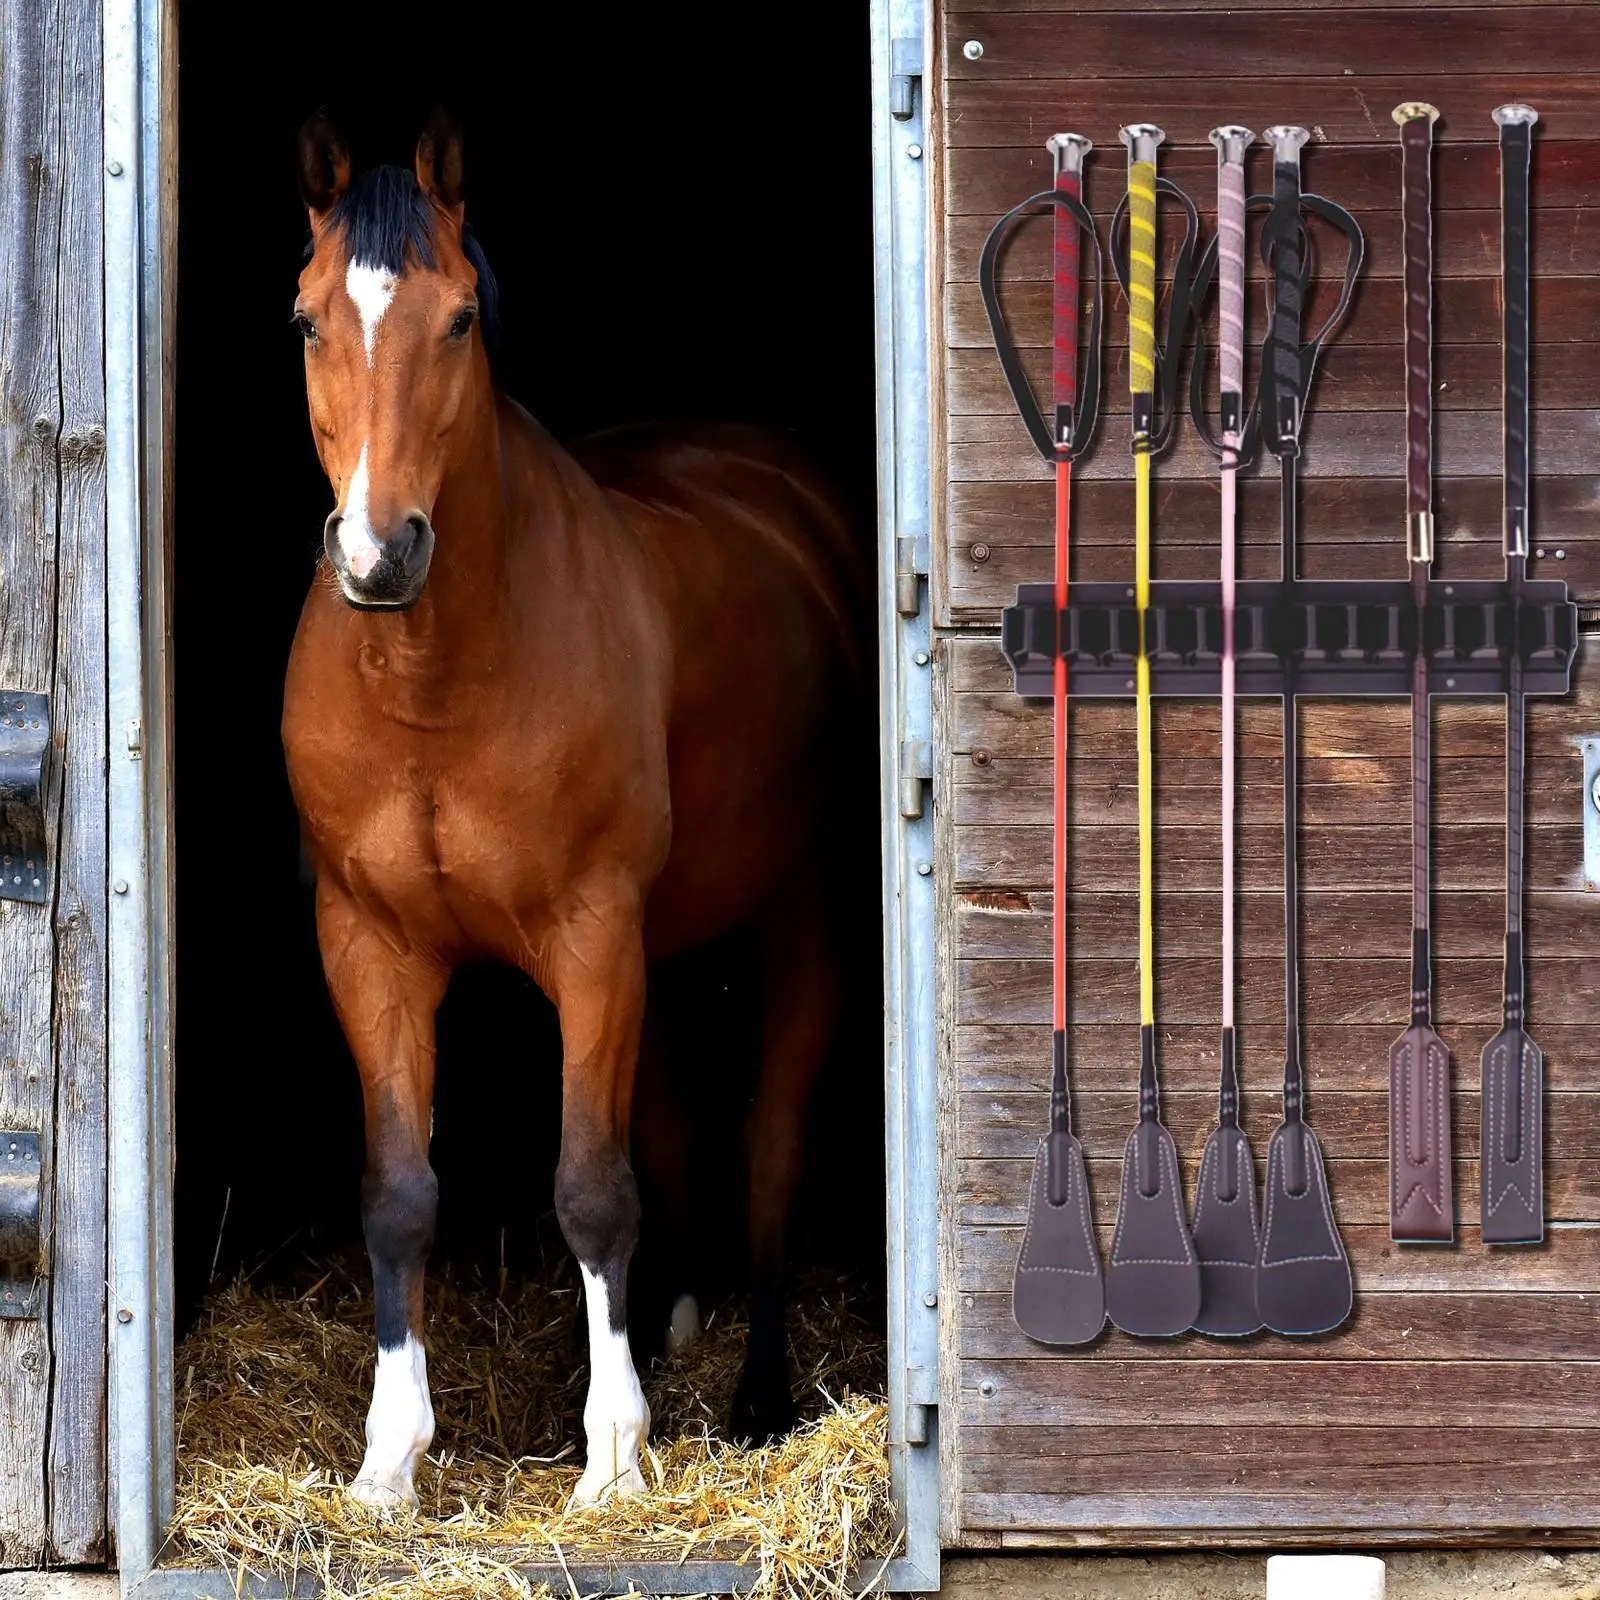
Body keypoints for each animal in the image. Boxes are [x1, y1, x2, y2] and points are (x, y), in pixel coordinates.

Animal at [281, 116, 870, 1510]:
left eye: (456, 319)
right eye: (308, 319)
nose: (378, 554)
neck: (434, 681)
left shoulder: (594, 935)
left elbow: (594, 1188)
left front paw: (612, 1456)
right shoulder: (369, 945)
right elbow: (399, 1191)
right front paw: (390, 1456)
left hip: (797, 921)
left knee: (769, 1142)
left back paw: (756, 1396)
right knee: (679, 1129)